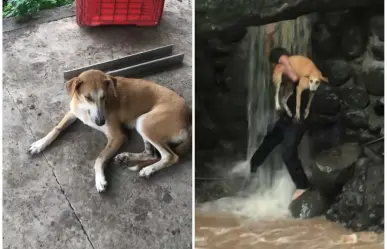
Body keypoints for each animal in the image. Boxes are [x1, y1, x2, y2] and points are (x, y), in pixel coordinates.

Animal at [27, 69, 191, 193]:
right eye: (88, 97)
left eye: (104, 96)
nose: (101, 122)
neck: (85, 110)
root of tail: (188, 117)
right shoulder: (73, 113)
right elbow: (56, 128)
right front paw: (40, 144)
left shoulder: (117, 137)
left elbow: (99, 158)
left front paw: (100, 179)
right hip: (142, 123)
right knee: (152, 153)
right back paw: (126, 157)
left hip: (144, 122)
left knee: (170, 156)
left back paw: (148, 170)